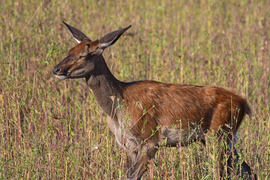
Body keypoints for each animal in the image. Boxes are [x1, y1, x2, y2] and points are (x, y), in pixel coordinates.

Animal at [52, 21, 255, 180]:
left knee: (223, 172)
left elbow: (133, 177)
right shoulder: (127, 144)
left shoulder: (150, 139)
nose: (56, 69)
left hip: (219, 134)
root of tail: (244, 103)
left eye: (84, 55)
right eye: (69, 50)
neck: (118, 107)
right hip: (224, 138)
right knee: (246, 169)